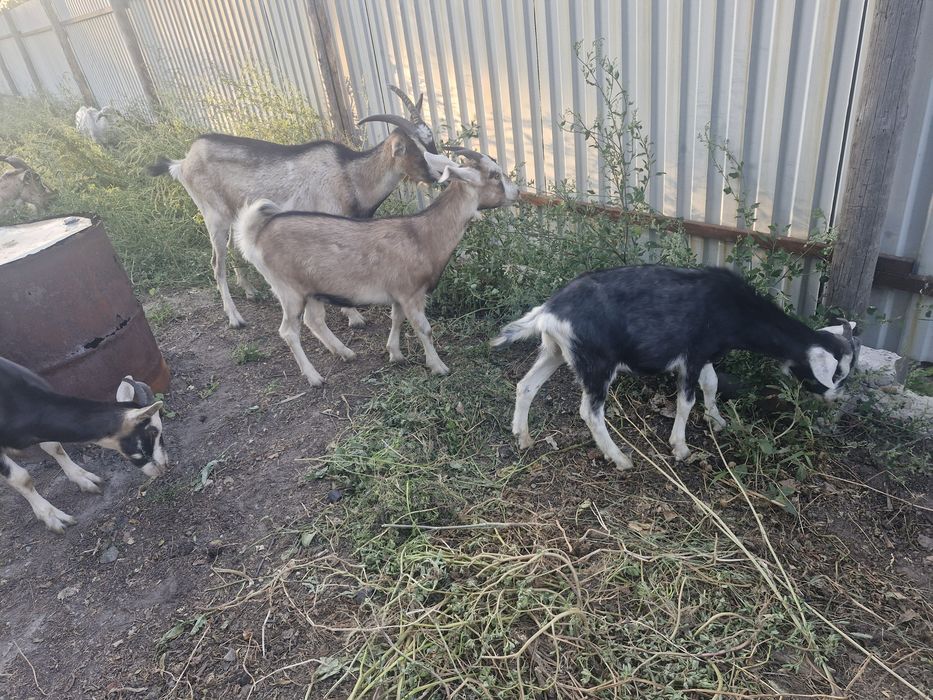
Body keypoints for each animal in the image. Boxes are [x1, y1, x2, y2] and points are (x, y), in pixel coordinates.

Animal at [0, 356, 168, 533]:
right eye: (153, 432)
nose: (163, 466)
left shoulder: (43, 429)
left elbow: (55, 447)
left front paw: (83, 478)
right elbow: (22, 478)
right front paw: (52, 516)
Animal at [149, 86, 455, 330]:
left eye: (430, 141)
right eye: (409, 148)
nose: (441, 174)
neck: (351, 176)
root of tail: (183, 161)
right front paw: (353, 316)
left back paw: (249, 291)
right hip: (213, 214)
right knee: (216, 262)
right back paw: (235, 318)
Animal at [232, 148, 519, 386]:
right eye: (494, 174)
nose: (517, 192)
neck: (422, 235)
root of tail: (257, 236)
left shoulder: (399, 293)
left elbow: (396, 318)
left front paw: (395, 354)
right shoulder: (411, 292)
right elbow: (424, 329)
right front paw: (438, 366)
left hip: (311, 289)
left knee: (314, 321)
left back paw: (345, 352)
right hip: (288, 290)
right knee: (289, 331)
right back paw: (315, 377)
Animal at [493, 265, 859, 469]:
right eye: (836, 374)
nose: (838, 401)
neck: (734, 309)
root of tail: (549, 312)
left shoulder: (707, 354)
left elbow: (711, 385)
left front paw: (717, 421)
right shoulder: (691, 355)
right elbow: (686, 400)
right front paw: (680, 447)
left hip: (554, 351)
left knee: (526, 385)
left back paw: (523, 437)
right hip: (597, 364)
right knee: (590, 411)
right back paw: (620, 459)